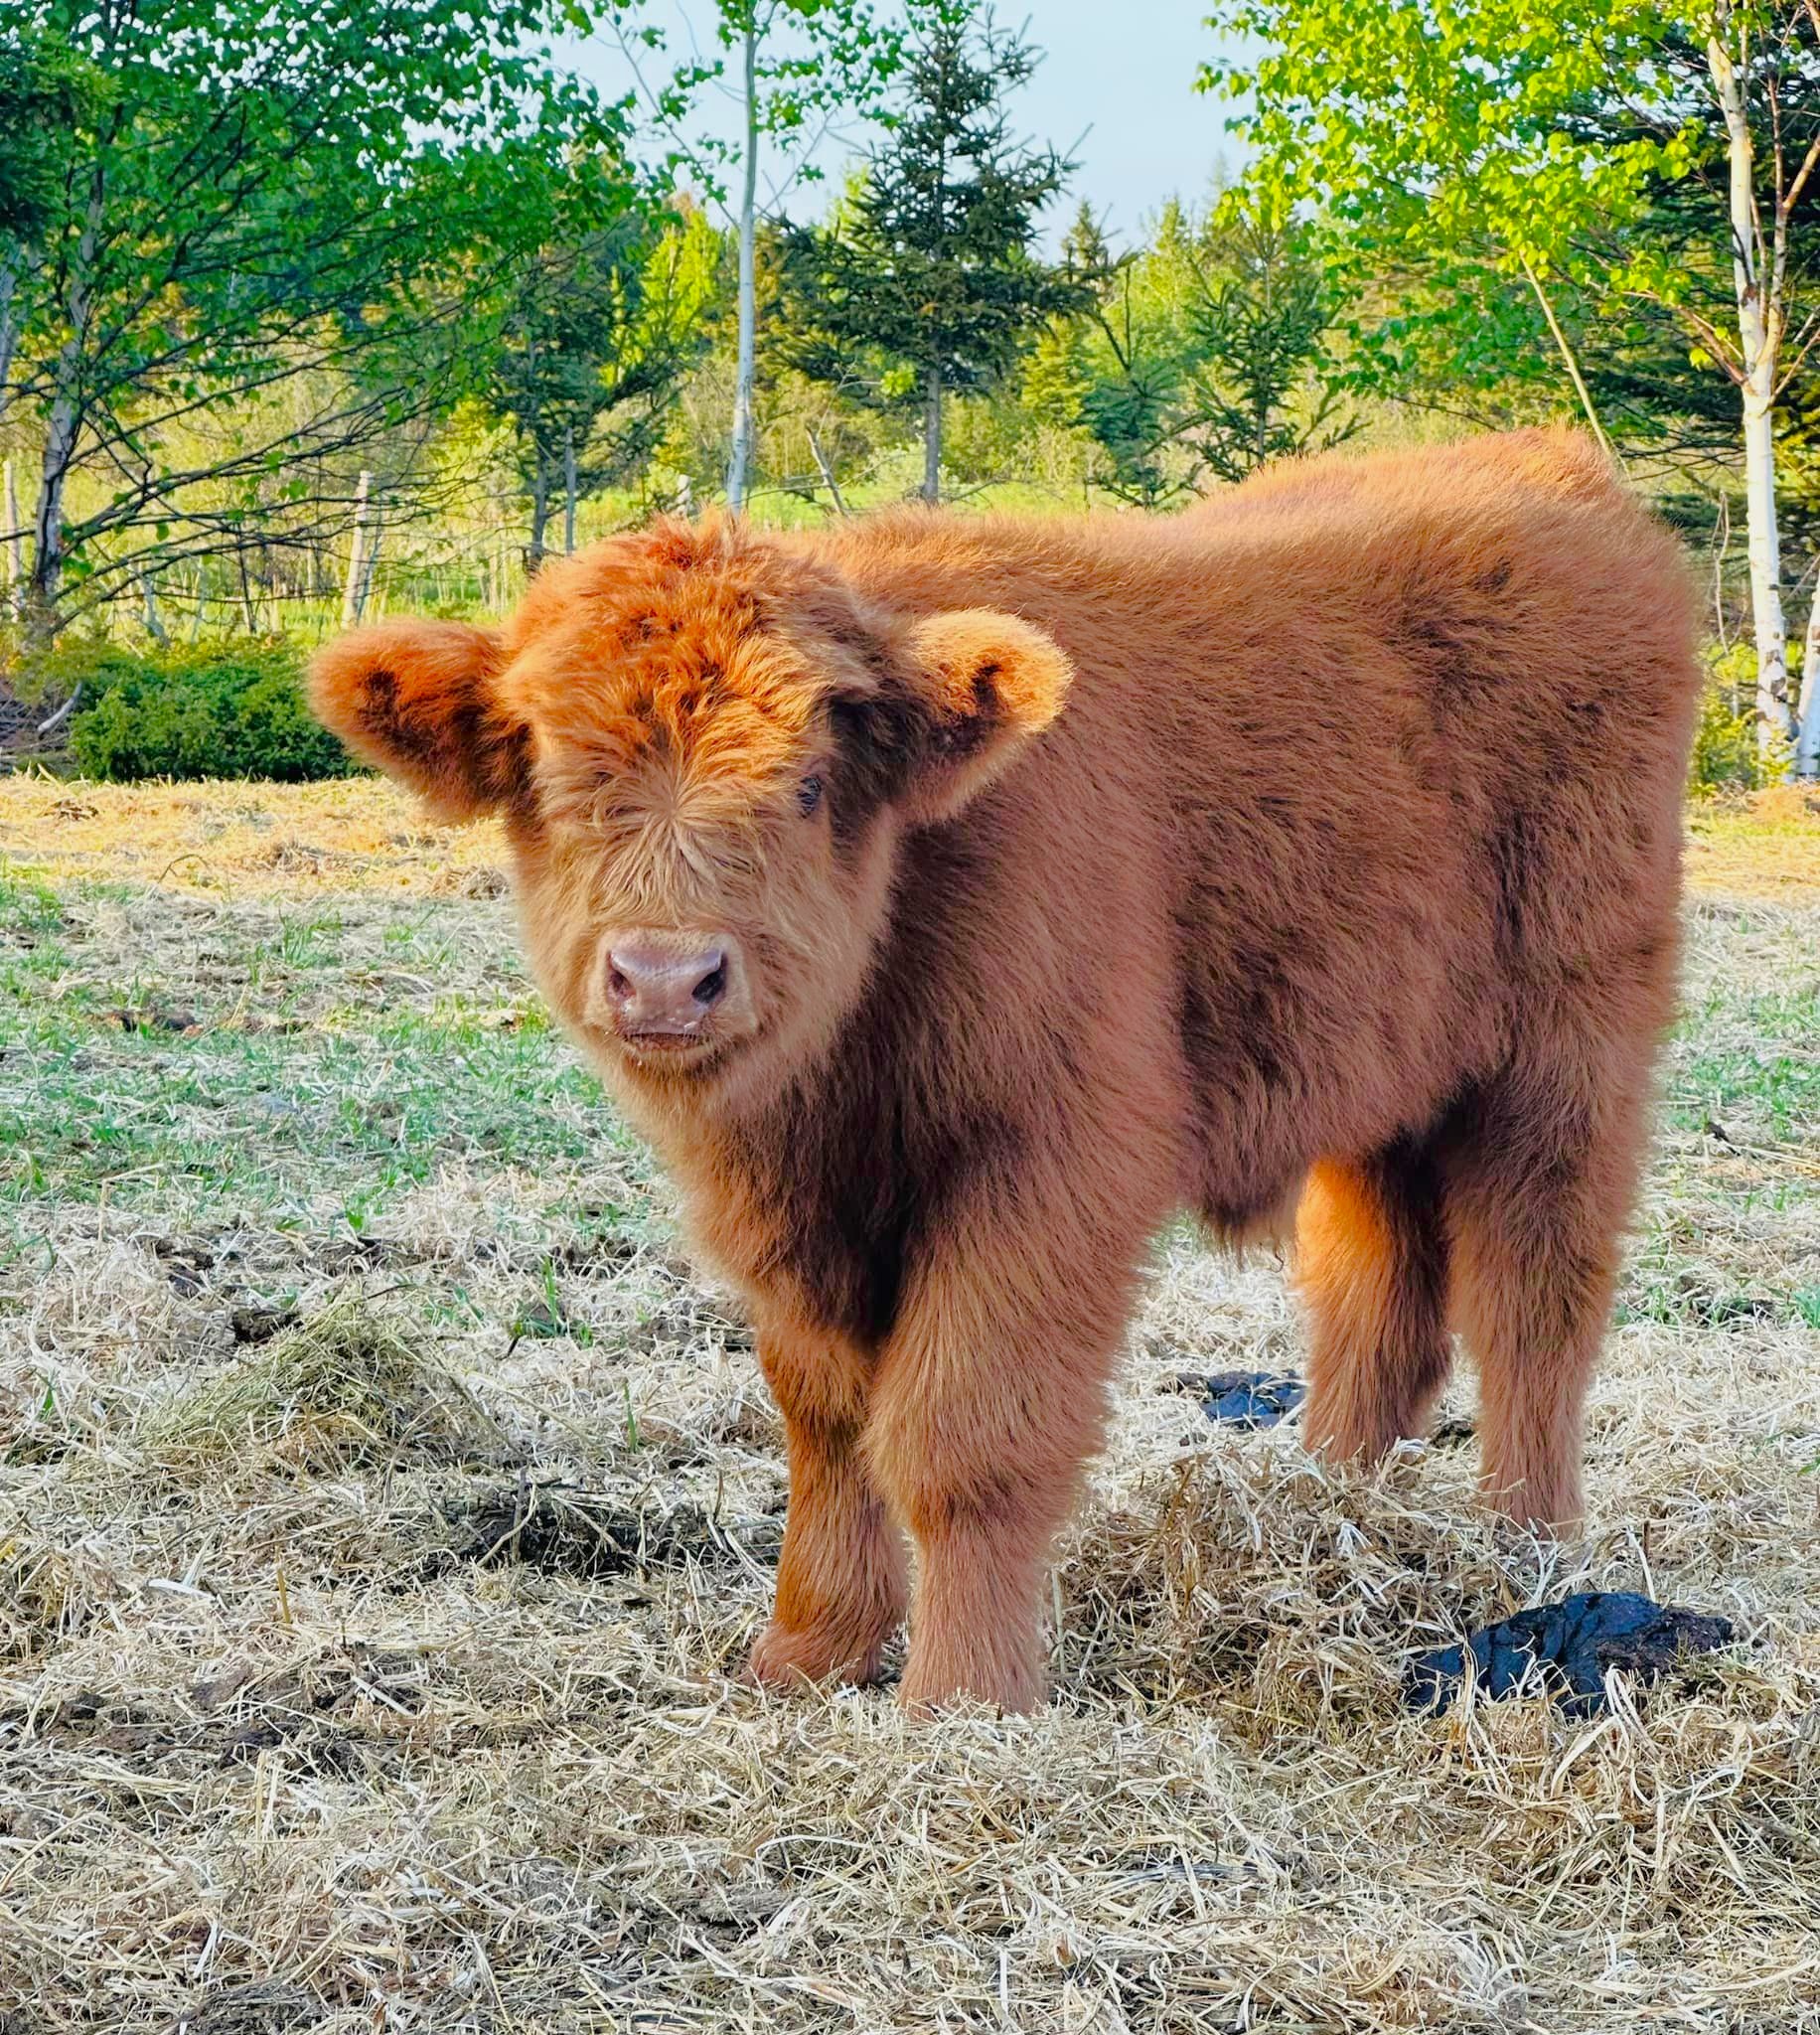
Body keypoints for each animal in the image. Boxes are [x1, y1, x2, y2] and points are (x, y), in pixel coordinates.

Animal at [309, 433, 1708, 1717]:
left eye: (807, 784)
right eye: (547, 777)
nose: (664, 977)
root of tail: (1549, 468)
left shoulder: (1042, 1167)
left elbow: (961, 1438)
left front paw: (963, 1697)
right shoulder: (789, 1209)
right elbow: (824, 1421)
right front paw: (807, 1651)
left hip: (1564, 1056)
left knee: (1533, 1298)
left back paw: (1522, 1547)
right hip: (1382, 1071)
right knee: (1381, 1300)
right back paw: (1324, 1506)